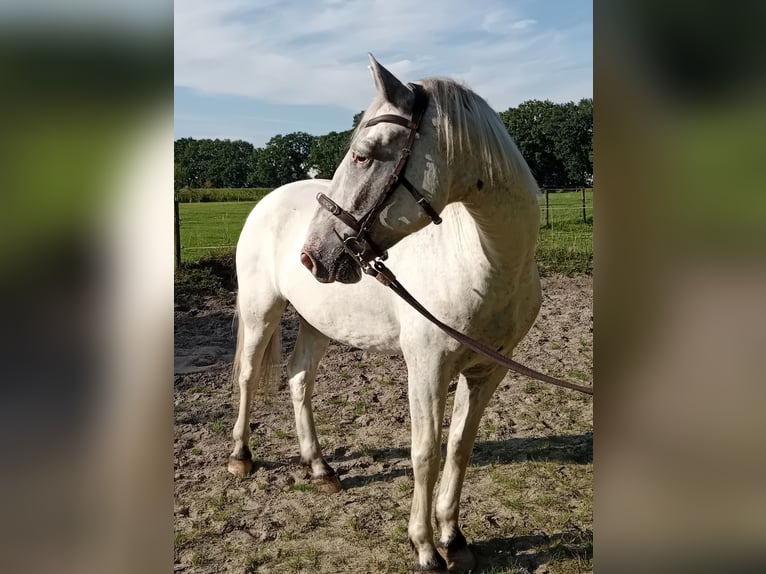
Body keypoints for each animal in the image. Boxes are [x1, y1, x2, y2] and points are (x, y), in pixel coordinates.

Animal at [231, 55, 544, 574]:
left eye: (363, 156)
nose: (313, 255)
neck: (484, 261)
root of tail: (269, 199)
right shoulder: (427, 367)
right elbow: (425, 454)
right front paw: (425, 548)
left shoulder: (487, 371)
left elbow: (459, 449)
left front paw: (454, 539)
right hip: (261, 310)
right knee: (249, 376)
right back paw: (241, 456)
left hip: (317, 322)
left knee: (298, 378)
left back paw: (319, 467)